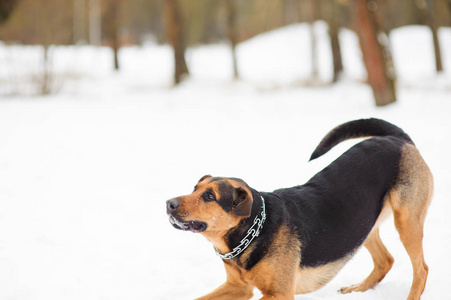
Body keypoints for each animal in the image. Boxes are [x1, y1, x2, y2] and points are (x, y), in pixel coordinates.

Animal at [167, 118, 434, 298]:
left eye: (209, 196)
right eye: (195, 188)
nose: (168, 204)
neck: (253, 232)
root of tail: (399, 139)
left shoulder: (279, 293)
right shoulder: (238, 287)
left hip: (406, 220)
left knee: (421, 269)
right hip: (361, 224)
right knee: (385, 260)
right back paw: (359, 289)